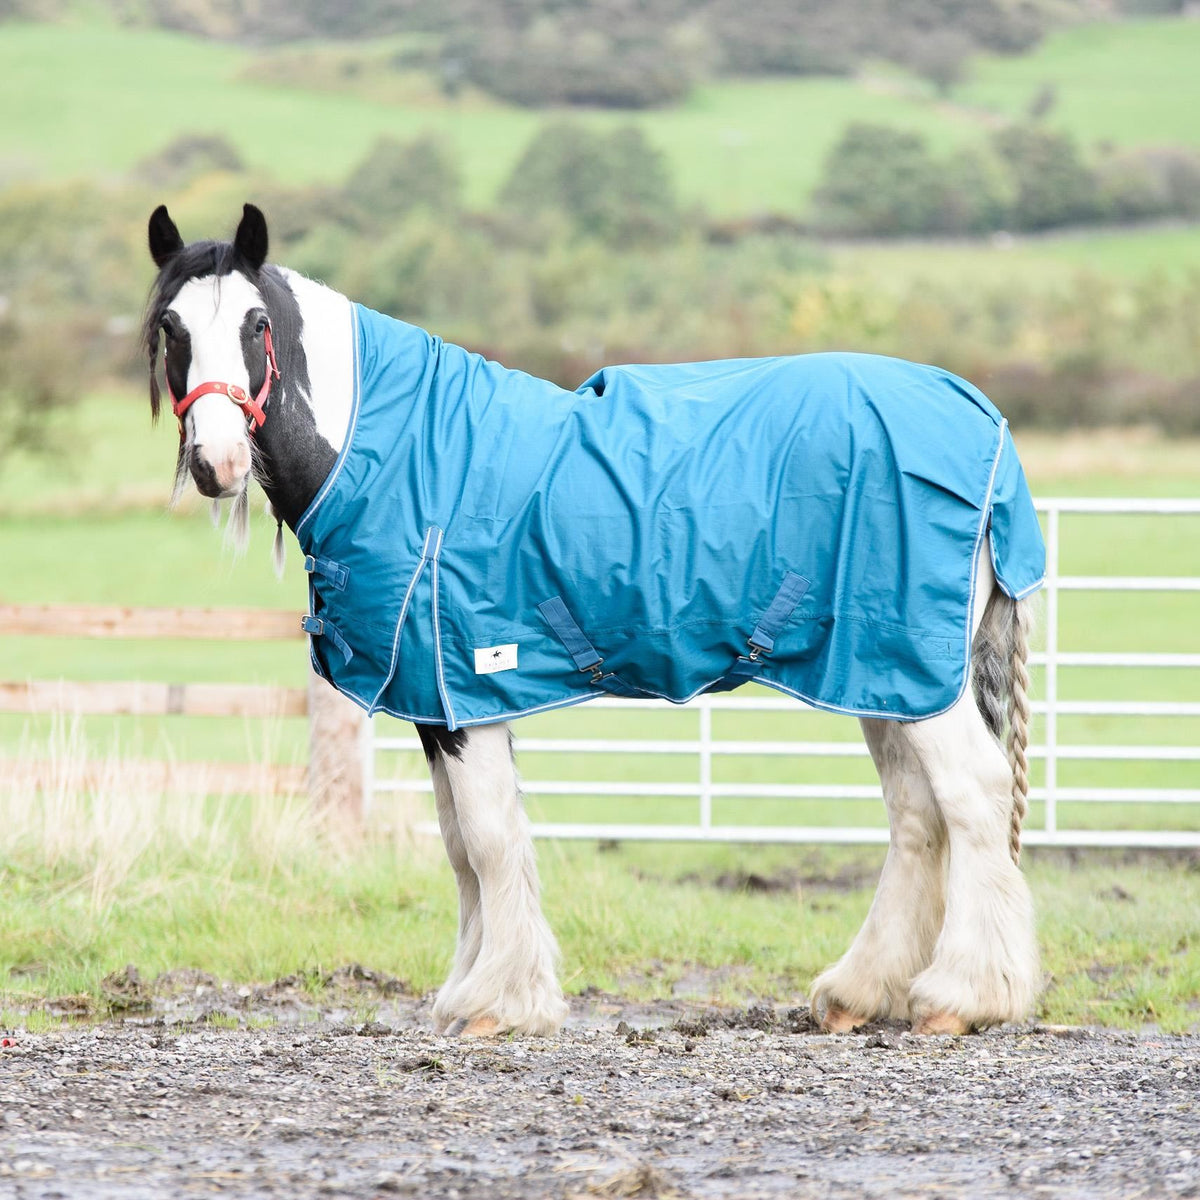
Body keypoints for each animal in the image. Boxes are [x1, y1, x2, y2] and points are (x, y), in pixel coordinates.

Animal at [143, 202, 1044, 1038]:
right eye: (171, 327)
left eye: (257, 325)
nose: (218, 463)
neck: (402, 454)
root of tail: (977, 412)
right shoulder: (439, 703)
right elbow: (460, 846)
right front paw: (469, 989)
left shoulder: (467, 687)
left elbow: (489, 838)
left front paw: (498, 1004)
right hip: (879, 674)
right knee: (917, 814)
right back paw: (862, 993)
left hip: (911, 669)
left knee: (972, 793)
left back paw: (961, 997)